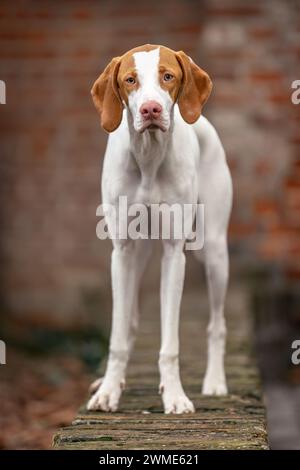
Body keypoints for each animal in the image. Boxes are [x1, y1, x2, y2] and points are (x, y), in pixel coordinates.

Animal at [86, 42, 232, 414]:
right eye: (130, 79)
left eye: (168, 76)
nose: (150, 109)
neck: (148, 158)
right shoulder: (122, 252)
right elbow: (118, 336)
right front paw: (108, 391)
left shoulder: (173, 255)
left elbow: (170, 343)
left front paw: (175, 396)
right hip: (137, 257)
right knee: (131, 320)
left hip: (214, 254)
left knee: (217, 325)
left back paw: (214, 381)